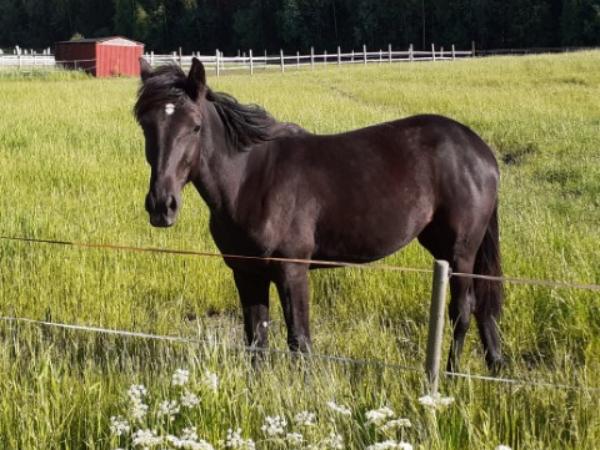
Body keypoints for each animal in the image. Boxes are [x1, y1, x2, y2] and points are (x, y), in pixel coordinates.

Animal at [135, 57, 504, 372]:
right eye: (145, 125)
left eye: (195, 126)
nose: (161, 205)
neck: (250, 179)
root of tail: (479, 149)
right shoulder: (246, 272)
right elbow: (256, 339)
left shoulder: (292, 271)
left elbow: (300, 341)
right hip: (439, 242)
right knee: (483, 307)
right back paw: (494, 368)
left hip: (461, 250)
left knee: (463, 309)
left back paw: (451, 377)